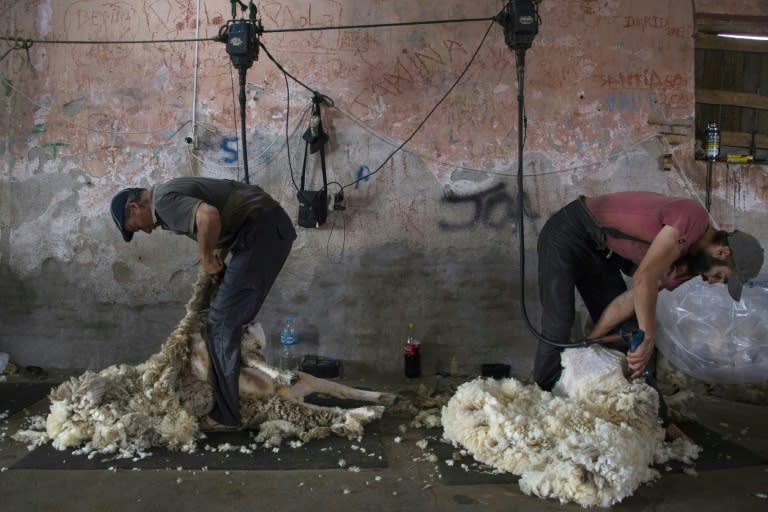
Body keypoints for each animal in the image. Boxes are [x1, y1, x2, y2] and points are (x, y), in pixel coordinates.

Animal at [15, 272, 392, 456]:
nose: (247, 321)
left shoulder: (303, 382)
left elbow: (342, 388)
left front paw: (380, 398)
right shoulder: (267, 401)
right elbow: (325, 411)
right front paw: (366, 414)